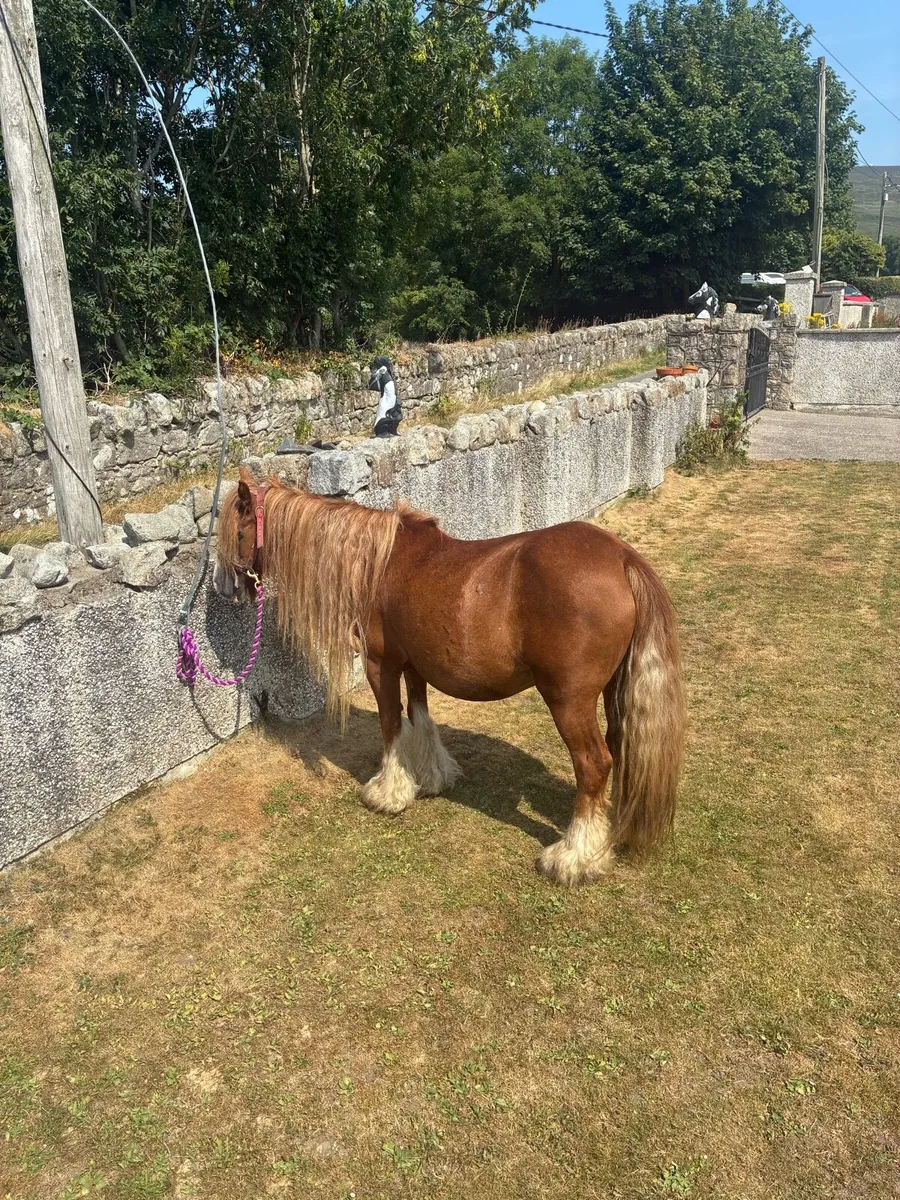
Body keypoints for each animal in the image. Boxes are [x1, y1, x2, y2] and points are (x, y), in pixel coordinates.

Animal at [213, 468, 685, 885]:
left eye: (237, 531)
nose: (227, 589)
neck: (376, 563)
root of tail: (622, 558)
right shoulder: (415, 665)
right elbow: (420, 716)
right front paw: (431, 777)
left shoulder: (381, 664)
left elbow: (390, 724)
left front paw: (388, 793)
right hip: (612, 690)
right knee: (618, 747)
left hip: (568, 700)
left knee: (593, 764)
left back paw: (574, 856)